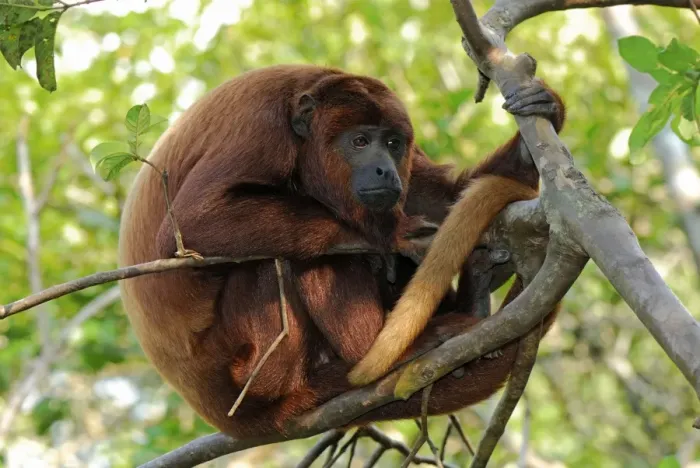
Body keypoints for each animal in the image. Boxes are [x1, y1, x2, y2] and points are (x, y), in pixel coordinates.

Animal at [118, 64, 565, 438]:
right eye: (360, 141)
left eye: (393, 143)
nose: (385, 169)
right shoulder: (261, 128)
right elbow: (193, 222)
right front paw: (389, 235)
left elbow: (436, 197)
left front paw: (542, 117)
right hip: (248, 369)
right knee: (292, 261)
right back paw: (387, 349)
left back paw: (475, 292)